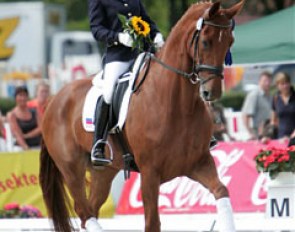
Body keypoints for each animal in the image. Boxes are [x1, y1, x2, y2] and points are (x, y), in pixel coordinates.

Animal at [39, 0, 245, 231]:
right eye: (206, 42)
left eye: (229, 42)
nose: (212, 92)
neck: (177, 105)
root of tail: (53, 100)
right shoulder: (149, 173)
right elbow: (152, 222)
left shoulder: (199, 162)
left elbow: (222, 191)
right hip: (71, 169)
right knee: (84, 211)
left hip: (103, 172)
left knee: (90, 210)